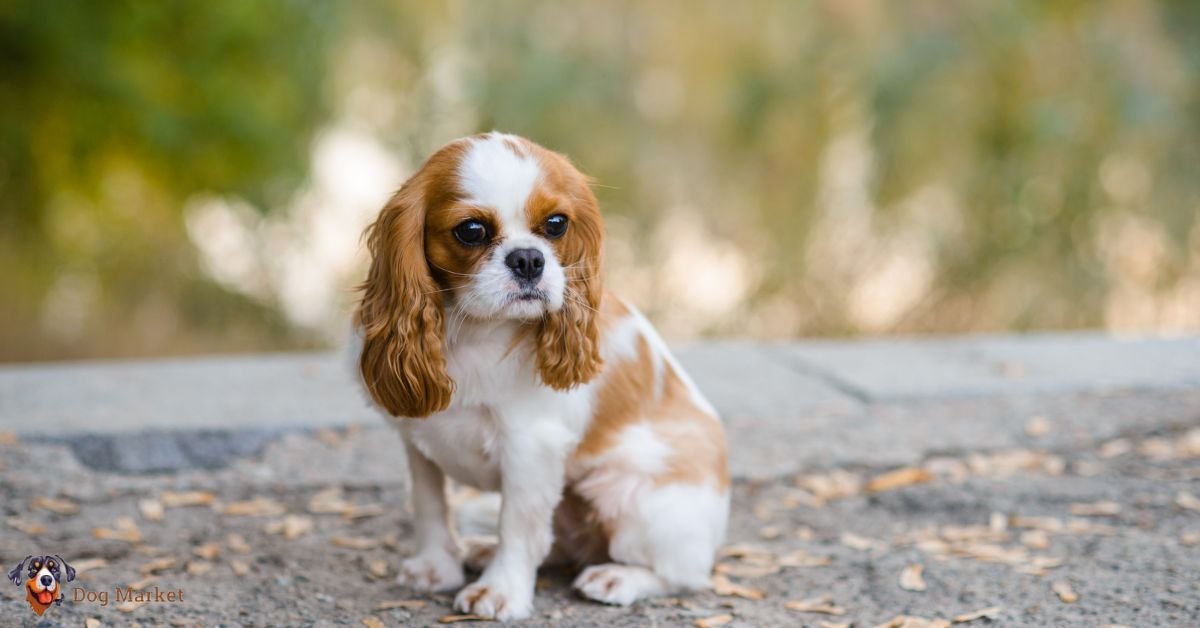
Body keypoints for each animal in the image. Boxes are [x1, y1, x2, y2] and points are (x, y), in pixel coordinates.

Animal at [352, 131, 729, 619]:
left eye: (555, 224)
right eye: (471, 231)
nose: (529, 259)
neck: (471, 330)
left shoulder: (530, 447)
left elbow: (518, 525)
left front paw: (500, 591)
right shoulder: (418, 440)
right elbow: (430, 506)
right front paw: (436, 567)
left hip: (633, 500)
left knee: (684, 575)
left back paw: (619, 577)